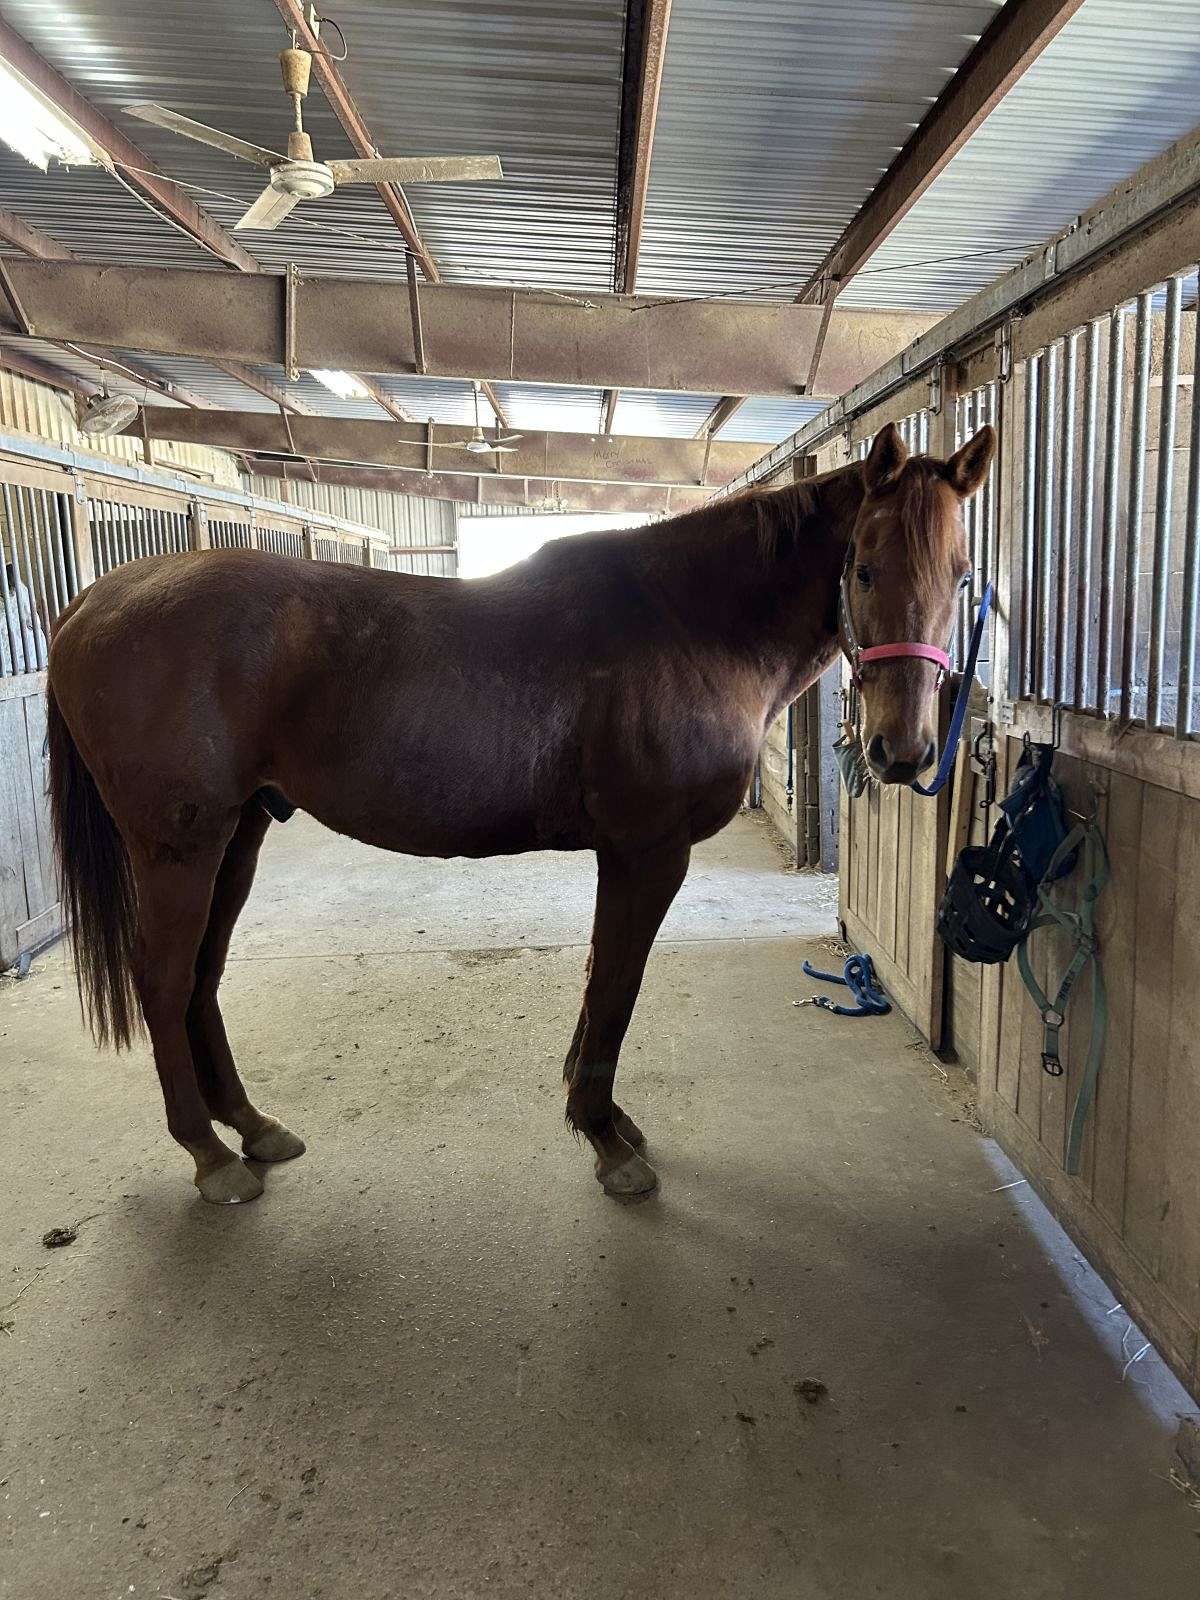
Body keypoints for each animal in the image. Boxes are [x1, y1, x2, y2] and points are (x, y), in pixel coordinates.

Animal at [45, 420, 994, 1205]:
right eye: (864, 568)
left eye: (961, 575)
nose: (903, 752)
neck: (688, 621)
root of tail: (91, 603)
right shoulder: (647, 851)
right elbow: (614, 988)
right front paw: (608, 1139)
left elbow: (600, 984)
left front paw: (598, 1117)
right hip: (177, 847)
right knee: (163, 980)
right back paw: (208, 1156)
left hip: (236, 834)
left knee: (201, 979)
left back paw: (252, 1129)